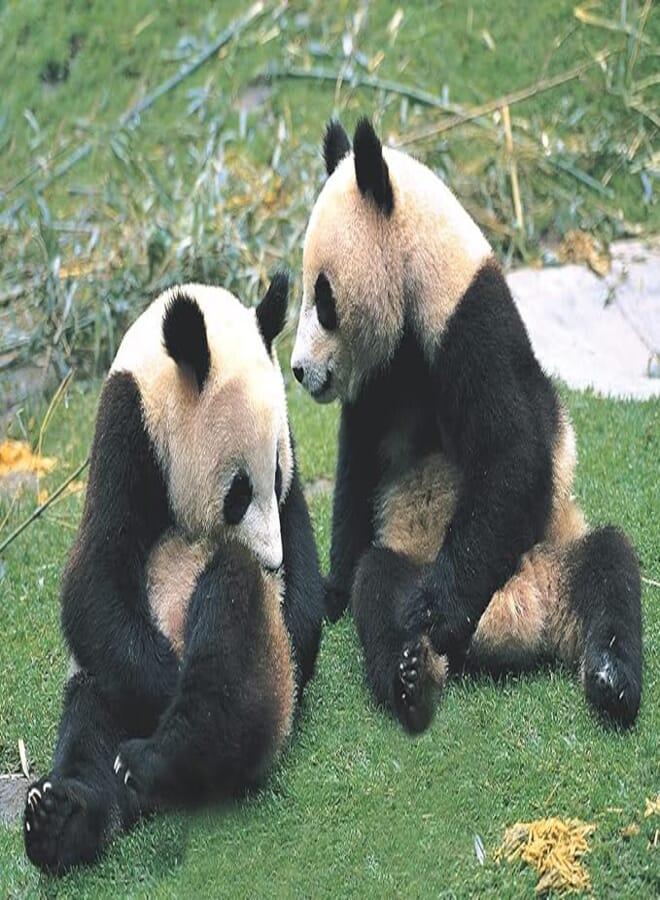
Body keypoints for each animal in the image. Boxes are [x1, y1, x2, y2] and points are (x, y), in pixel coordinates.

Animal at [24, 273, 324, 874]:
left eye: (277, 474)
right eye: (238, 494)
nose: (271, 563)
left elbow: (304, 577)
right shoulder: (124, 441)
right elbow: (92, 584)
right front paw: (168, 682)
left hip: (262, 650)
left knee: (231, 607)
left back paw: (172, 752)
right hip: (101, 690)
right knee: (90, 725)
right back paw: (64, 817)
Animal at [291, 118, 642, 735]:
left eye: (324, 298)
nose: (300, 370)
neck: (421, 274)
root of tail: (517, 617)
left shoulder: (470, 323)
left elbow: (513, 452)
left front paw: (437, 608)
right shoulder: (379, 378)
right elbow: (357, 472)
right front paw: (332, 592)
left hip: (554, 547)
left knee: (611, 564)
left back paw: (609, 678)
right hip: (416, 559)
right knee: (377, 584)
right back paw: (410, 673)